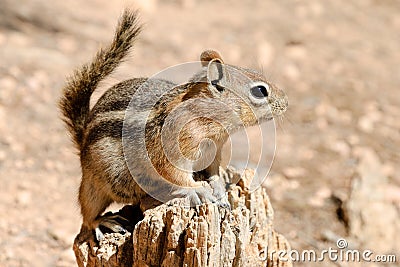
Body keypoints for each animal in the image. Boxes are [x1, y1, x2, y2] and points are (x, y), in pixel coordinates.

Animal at [58, 9, 288, 241]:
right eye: (260, 91)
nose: (286, 103)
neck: (211, 125)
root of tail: (83, 138)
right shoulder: (170, 152)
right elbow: (175, 175)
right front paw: (198, 189)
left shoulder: (213, 153)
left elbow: (214, 173)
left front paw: (220, 190)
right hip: (93, 183)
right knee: (87, 212)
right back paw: (103, 221)